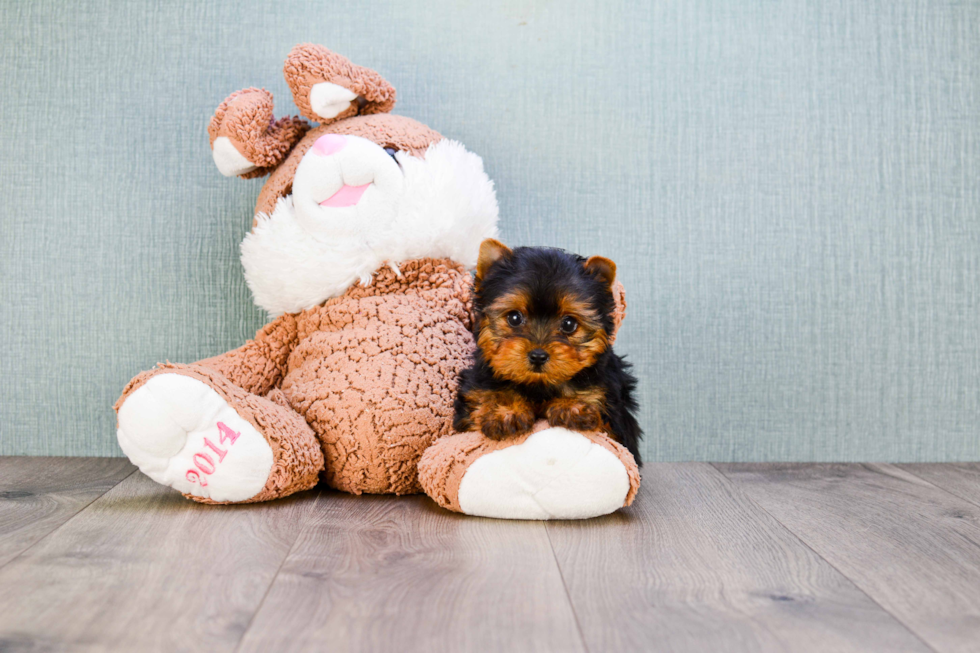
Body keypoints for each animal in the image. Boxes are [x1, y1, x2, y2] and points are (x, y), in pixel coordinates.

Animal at [454, 241, 644, 464]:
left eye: (569, 324)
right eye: (514, 318)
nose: (538, 355)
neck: (539, 385)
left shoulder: (614, 414)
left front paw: (571, 405)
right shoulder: (474, 396)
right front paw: (505, 409)